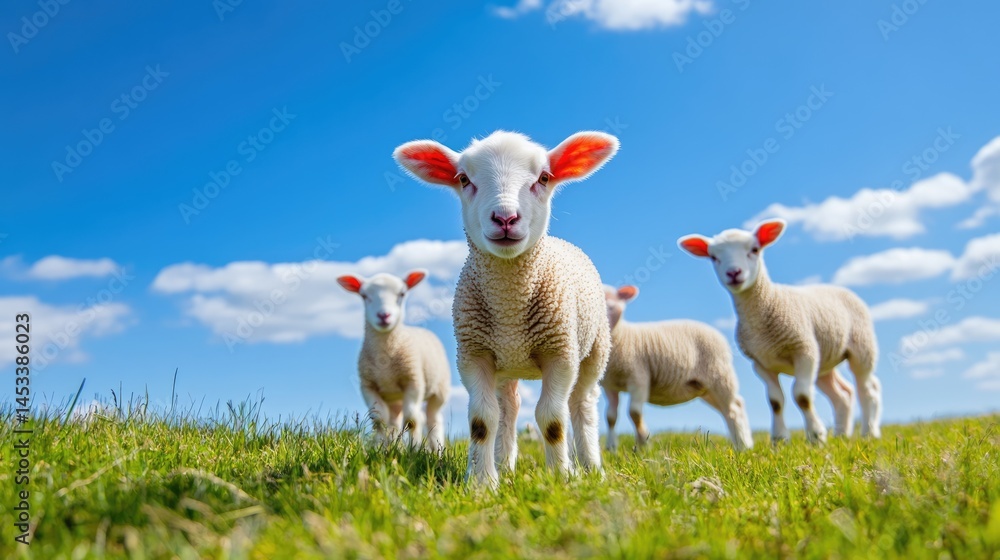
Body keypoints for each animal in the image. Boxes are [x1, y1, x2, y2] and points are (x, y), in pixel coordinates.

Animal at [337, 269, 451, 452]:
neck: (385, 360)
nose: (384, 315)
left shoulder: (414, 381)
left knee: (432, 420)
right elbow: (378, 420)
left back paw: (436, 451)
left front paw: (414, 450)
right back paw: (394, 446)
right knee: (395, 422)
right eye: (364, 296)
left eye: (402, 294)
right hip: (395, 398)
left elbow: (411, 420)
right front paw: (380, 449)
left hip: (439, 391)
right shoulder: (368, 386)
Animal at [394, 130, 618, 488]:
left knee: (581, 405)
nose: (505, 218)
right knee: (508, 408)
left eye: (544, 177)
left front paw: (560, 477)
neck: (510, 302)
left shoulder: (561, 353)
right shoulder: (474, 354)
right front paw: (482, 483)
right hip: (506, 362)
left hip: (595, 349)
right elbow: (483, 420)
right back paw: (505, 464)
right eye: (464, 179)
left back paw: (591, 467)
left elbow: (552, 419)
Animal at [602, 285, 754, 452]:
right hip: (704, 388)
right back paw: (743, 444)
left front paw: (644, 444)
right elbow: (610, 417)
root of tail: (719, 336)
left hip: (719, 376)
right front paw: (611, 448)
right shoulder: (609, 385)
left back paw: (743, 446)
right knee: (731, 408)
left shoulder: (639, 378)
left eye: (610, 306)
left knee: (734, 409)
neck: (622, 335)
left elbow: (635, 413)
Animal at [677, 219, 882, 443]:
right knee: (843, 394)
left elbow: (802, 396)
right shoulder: (761, 363)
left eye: (754, 250)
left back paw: (869, 433)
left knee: (868, 389)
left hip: (862, 349)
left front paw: (816, 436)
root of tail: (838, 288)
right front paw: (779, 439)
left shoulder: (805, 351)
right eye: (714, 257)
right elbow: (775, 401)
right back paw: (841, 435)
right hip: (824, 364)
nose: (733, 273)